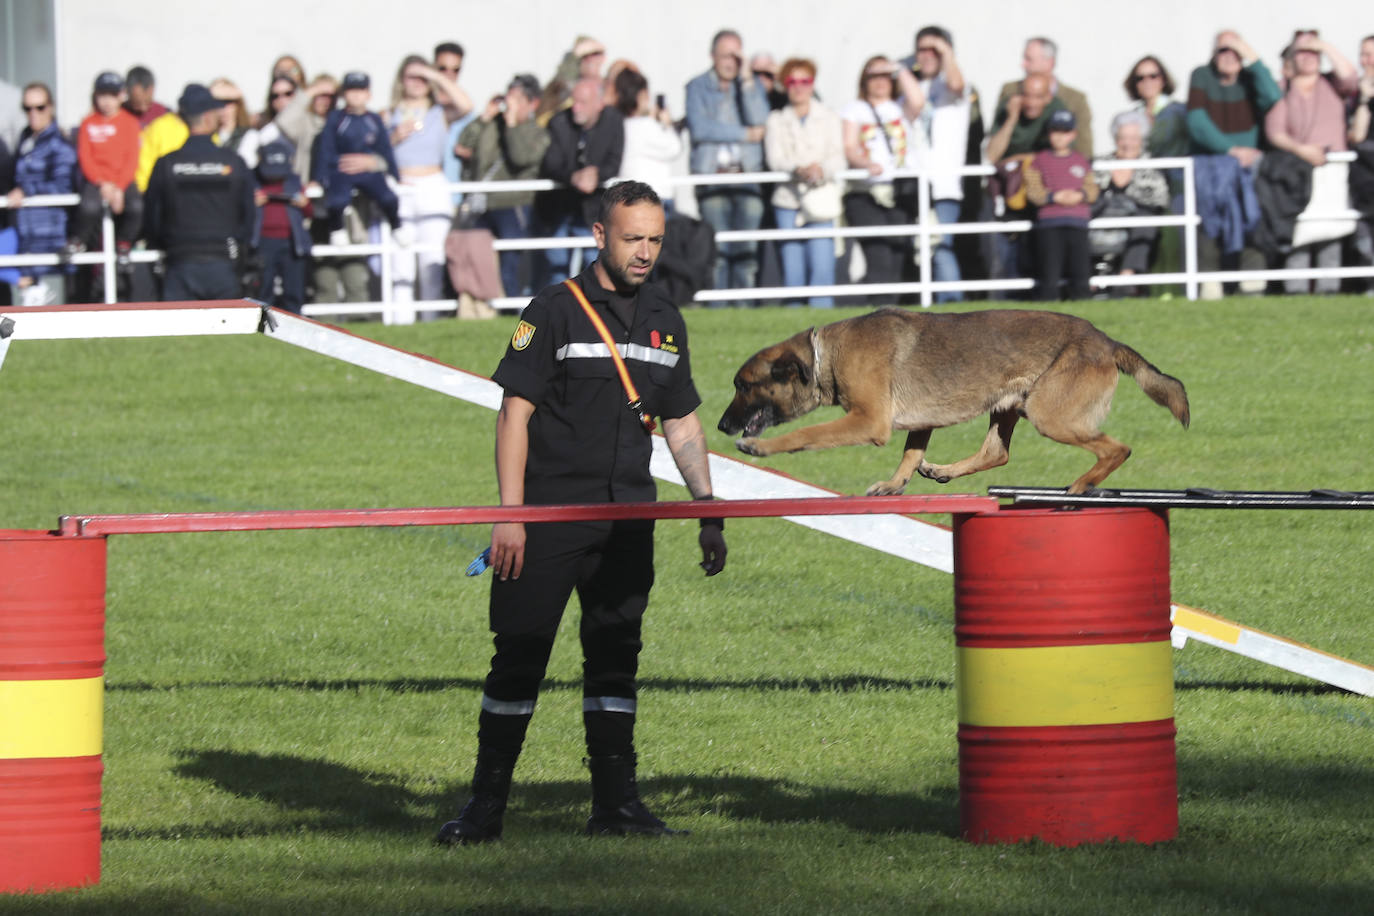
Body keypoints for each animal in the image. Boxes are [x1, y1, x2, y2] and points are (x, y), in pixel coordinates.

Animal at [719, 307, 1192, 494]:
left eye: (743, 386)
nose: (722, 425)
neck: (824, 355)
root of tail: (1108, 341)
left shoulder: (868, 421)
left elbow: (805, 434)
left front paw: (760, 446)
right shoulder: (918, 422)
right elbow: (910, 455)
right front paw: (894, 485)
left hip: (1048, 414)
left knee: (1117, 448)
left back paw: (1080, 486)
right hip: (1009, 406)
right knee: (996, 453)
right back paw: (944, 471)